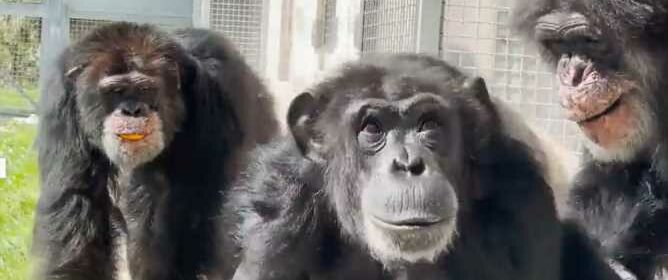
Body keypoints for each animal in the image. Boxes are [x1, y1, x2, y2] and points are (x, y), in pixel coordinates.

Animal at [32, 22, 278, 280]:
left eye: (145, 88)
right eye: (116, 91)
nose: (132, 110)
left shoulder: (219, 94)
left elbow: (210, 208)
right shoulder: (62, 101)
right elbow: (77, 199)